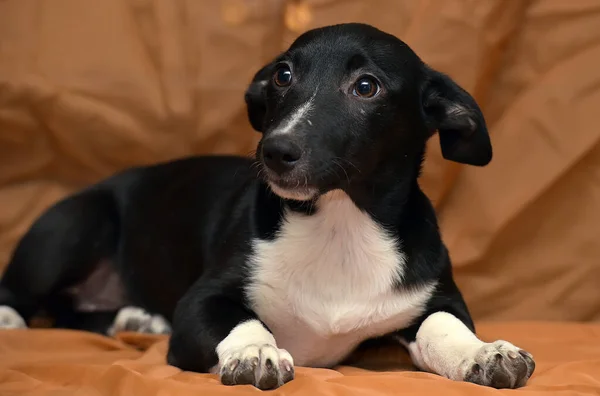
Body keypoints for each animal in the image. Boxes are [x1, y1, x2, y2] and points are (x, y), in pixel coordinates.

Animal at [0, 24, 536, 390]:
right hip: (76, 224)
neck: (340, 226)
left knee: (70, 313)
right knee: (26, 296)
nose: (276, 150)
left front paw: (484, 352)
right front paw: (257, 349)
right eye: (283, 75)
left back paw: (133, 319)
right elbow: (241, 318)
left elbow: (444, 327)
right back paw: (14, 319)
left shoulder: (438, 297)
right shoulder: (200, 301)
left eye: (367, 86)